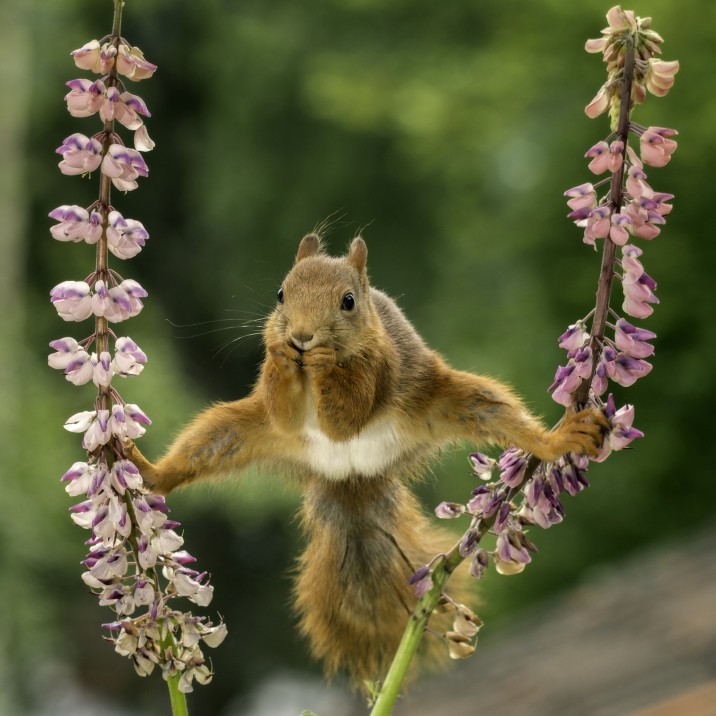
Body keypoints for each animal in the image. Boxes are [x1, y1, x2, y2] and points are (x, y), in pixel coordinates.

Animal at [125, 233, 607, 687]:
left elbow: (348, 415)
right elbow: (283, 410)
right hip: (236, 431)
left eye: (348, 302)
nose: (302, 337)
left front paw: (322, 362)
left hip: (452, 401)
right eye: (280, 294)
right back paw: (150, 473)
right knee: (206, 445)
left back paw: (557, 439)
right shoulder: (279, 411)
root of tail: (352, 474)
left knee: (496, 412)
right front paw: (282, 355)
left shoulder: (381, 366)